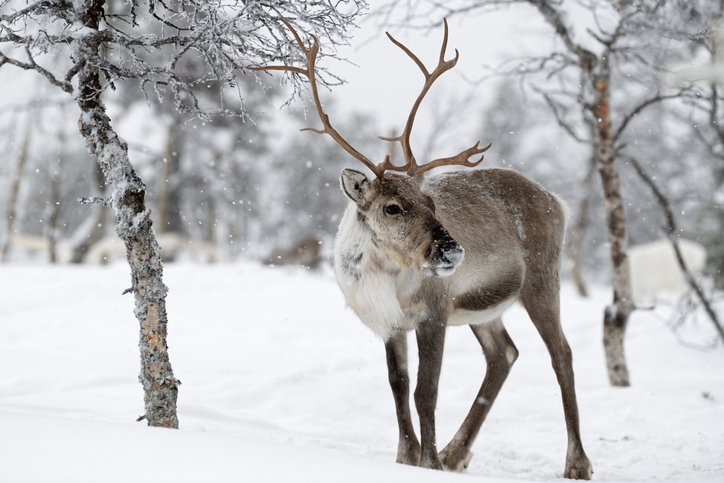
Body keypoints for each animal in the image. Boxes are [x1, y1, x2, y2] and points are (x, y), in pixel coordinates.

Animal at [251, 19, 593, 480]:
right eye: (392, 207)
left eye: (431, 201)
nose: (452, 252)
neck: (389, 280)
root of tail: (558, 200)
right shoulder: (392, 324)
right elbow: (398, 385)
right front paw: (407, 456)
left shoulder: (434, 310)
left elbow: (425, 390)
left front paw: (427, 463)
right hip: (482, 307)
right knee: (504, 354)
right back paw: (456, 452)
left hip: (542, 279)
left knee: (562, 353)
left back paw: (576, 462)